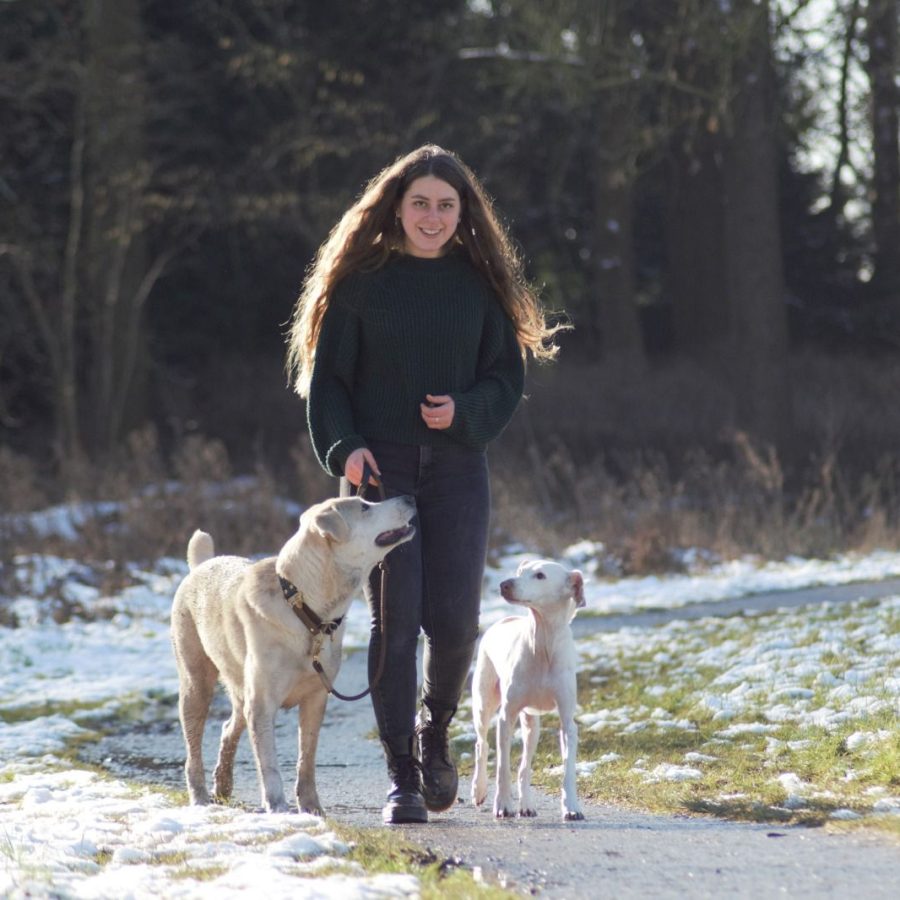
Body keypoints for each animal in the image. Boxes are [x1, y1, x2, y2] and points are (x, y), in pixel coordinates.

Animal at [170, 494, 416, 815]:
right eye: (364, 506)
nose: (409, 497)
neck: (304, 607)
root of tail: (200, 565)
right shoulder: (262, 704)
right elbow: (269, 763)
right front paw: (277, 806)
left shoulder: (316, 697)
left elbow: (307, 757)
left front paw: (311, 808)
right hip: (196, 684)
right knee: (193, 747)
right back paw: (200, 798)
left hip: (240, 689)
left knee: (228, 727)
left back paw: (222, 786)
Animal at [471, 559, 586, 821]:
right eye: (519, 572)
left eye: (540, 575)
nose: (504, 584)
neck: (543, 643)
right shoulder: (506, 717)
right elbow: (502, 766)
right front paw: (503, 805)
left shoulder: (567, 721)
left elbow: (568, 767)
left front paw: (571, 807)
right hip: (483, 702)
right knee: (482, 744)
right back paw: (479, 789)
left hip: (532, 724)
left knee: (525, 765)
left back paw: (526, 805)